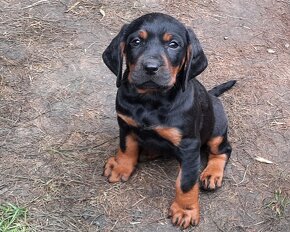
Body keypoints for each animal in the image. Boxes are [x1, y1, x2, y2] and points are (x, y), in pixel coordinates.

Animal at [102, 12, 236, 228]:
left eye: (173, 44)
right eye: (135, 41)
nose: (150, 68)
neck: (150, 100)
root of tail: (211, 94)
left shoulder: (189, 146)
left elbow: (186, 182)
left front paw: (185, 210)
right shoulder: (125, 124)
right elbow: (126, 147)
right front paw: (121, 166)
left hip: (217, 129)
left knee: (222, 150)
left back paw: (212, 173)